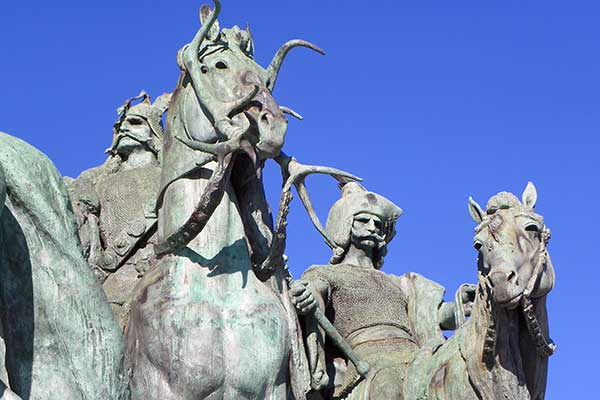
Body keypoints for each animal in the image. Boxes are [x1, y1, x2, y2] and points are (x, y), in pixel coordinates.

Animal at [126, 1, 332, 398]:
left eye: (265, 77)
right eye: (218, 65)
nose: (273, 124)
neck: (216, 282)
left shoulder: (274, 387)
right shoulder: (160, 386)